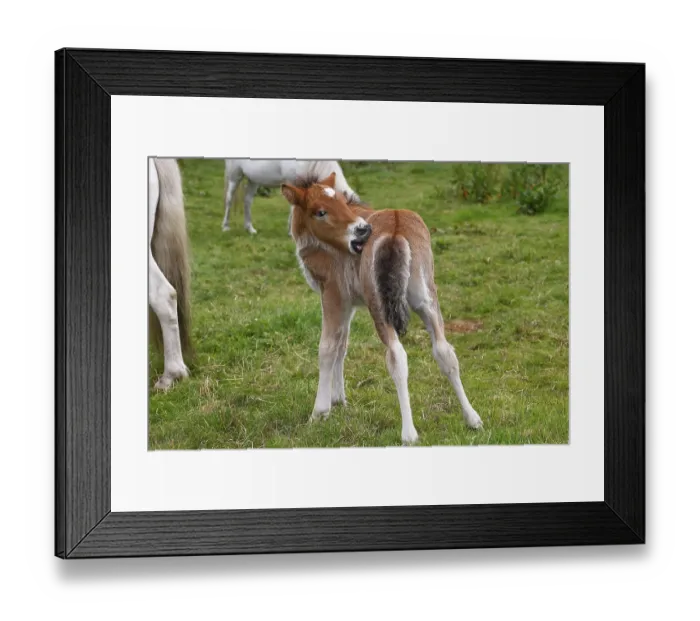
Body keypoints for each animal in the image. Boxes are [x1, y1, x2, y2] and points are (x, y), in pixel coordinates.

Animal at [222, 159, 359, 235]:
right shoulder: (293, 183)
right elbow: (294, 207)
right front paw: (292, 232)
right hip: (235, 176)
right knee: (229, 200)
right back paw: (225, 227)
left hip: (253, 180)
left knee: (247, 201)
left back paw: (250, 229)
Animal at [282, 171, 484, 446]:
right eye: (320, 212)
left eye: (342, 203)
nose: (362, 230)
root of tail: (396, 227)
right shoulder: (350, 302)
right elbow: (342, 345)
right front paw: (339, 400)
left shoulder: (334, 294)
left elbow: (327, 347)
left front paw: (320, 412)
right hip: (426, 298)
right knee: (445, 351)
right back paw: (472, 418)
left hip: (379, 306)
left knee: (397, 356)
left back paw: (409, 433)